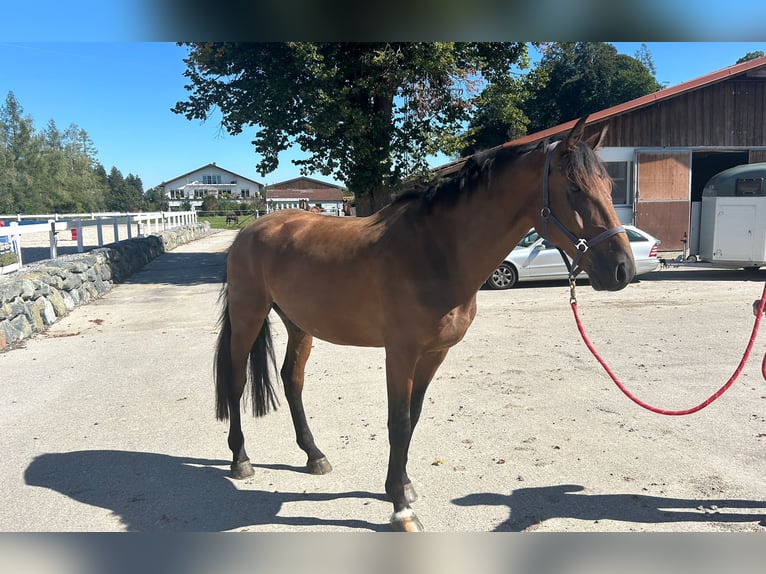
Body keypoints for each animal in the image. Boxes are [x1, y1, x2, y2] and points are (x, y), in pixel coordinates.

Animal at [214, 117, 636, 536]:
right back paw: (241, 459)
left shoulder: (435, 353)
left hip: (300, 325)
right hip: (249, 315)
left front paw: (401, 485)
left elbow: (413, 418)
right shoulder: (400, 352)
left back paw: (314, 455)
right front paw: (401, 509)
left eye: (610, 186)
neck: (436, 252)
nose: (622, 269)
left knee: (292, 380)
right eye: (575, 187)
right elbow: (398, 421)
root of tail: (250, 231)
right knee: (236, 380)